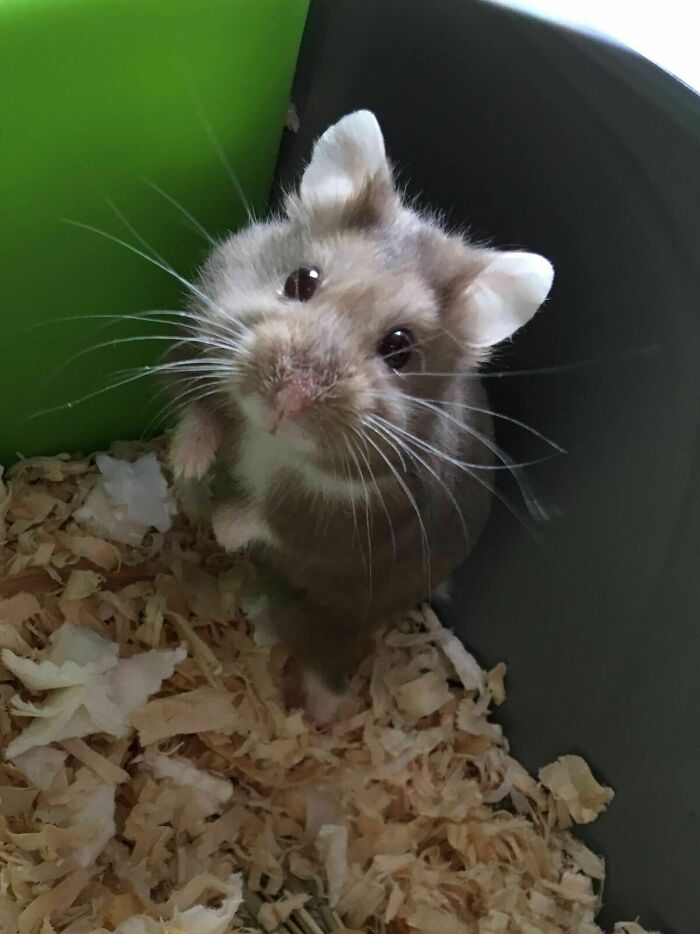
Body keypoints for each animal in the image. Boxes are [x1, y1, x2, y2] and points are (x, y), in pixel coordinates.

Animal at [168, 111, 554, 722]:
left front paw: (224, 527)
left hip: (352, 610)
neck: (274, 443)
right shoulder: (200, 345)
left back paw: (319, 711)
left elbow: (275, 518)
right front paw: (186, 470)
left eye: (400, 348)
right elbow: (201, 410)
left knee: (329, 651)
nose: (285, 402)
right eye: (300, 280)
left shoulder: (355, 519)